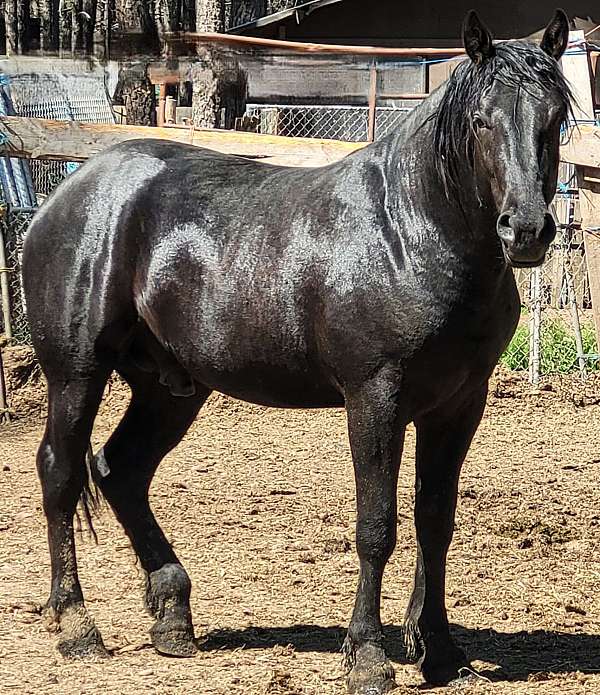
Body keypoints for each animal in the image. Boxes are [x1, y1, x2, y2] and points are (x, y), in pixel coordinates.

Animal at [22, 9, 572, 693]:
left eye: (554, 115)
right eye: (481, 119)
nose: (525, 230)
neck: (410, 233)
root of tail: (68, 195)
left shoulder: (459, 405)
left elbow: (436, 521)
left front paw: (440, 651)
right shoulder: (375, 398)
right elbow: (377, 526)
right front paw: (368, 657)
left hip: (170, 388)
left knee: (120, 469)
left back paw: (173, 617)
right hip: (77, 374)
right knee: (61, 472)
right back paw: (77, 627)